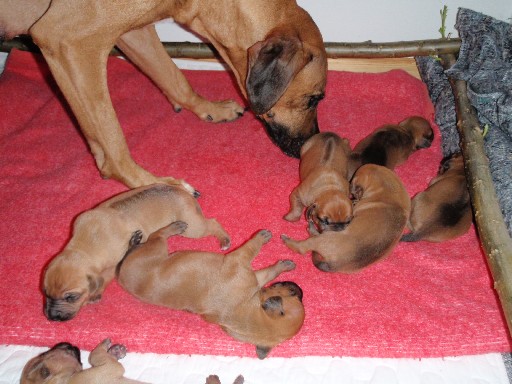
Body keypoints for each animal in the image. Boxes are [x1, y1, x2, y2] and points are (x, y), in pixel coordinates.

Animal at [0, 0, 326, 190]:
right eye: (314, 99)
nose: (312, 143)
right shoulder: (68, 39)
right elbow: (113, 142)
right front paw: (153, 185)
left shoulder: (133, 31)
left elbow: (173, 75)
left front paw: (207, 107)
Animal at [42, 184, 230, 322]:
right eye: (44, 292)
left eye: (72, 297)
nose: (51, 317)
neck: (83, 246)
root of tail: (180, 189)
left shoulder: (113, 263)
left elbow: (105, 277)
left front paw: (95, 294)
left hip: (193, 228)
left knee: (212, 223)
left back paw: (224, 240)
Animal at [117, 222, 304, 360]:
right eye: (293, 294)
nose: (300, 289)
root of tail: (120, 277)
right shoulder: (240, 260)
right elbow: (253, 249)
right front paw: (264, 241)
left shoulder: (252, 278)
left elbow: (266, 270)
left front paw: (281, 264)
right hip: (157, 248)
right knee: (157, 235)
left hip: (153, 250)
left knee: (145, 242)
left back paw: (139, 239)